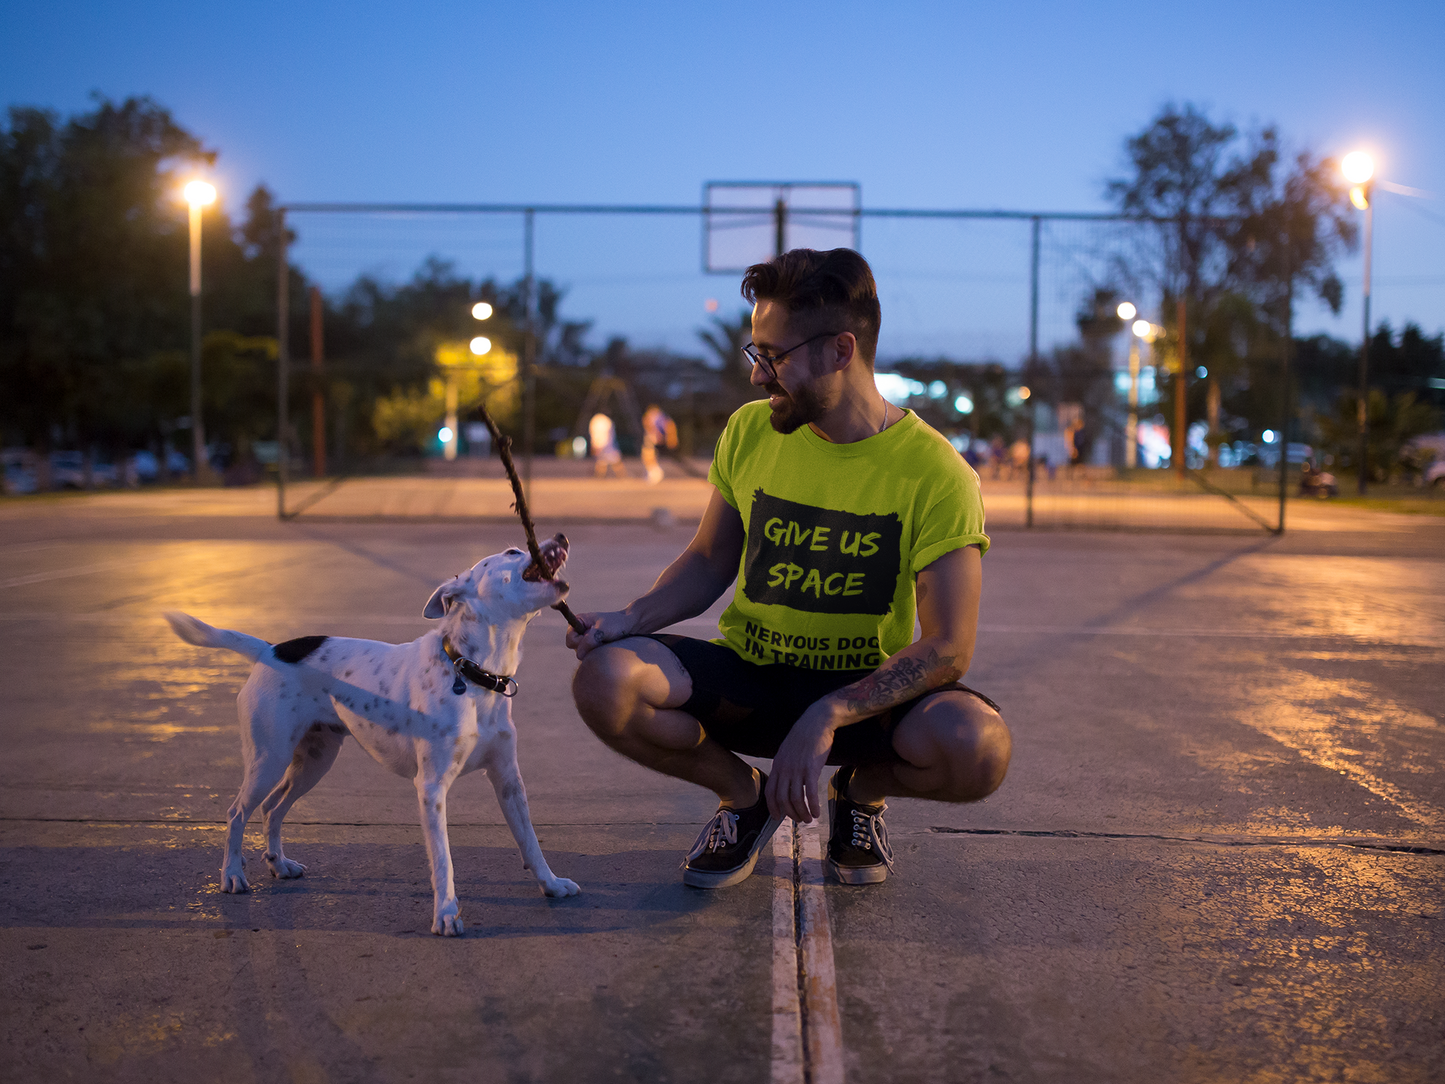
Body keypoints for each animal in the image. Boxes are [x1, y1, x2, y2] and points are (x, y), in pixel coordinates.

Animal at [164, 534, 580, 936]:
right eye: (511, 551)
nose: (561, 536)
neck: (473, 672)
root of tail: (271, 650)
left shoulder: (508, 780)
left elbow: (530, 841)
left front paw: (551, 884)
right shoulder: (431, 788)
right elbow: (443, 861)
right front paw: (445, 915)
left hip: (314, 762)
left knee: (272, 808)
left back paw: (279, 864)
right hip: (269, 759)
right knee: (237, 812)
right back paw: (233, 875)